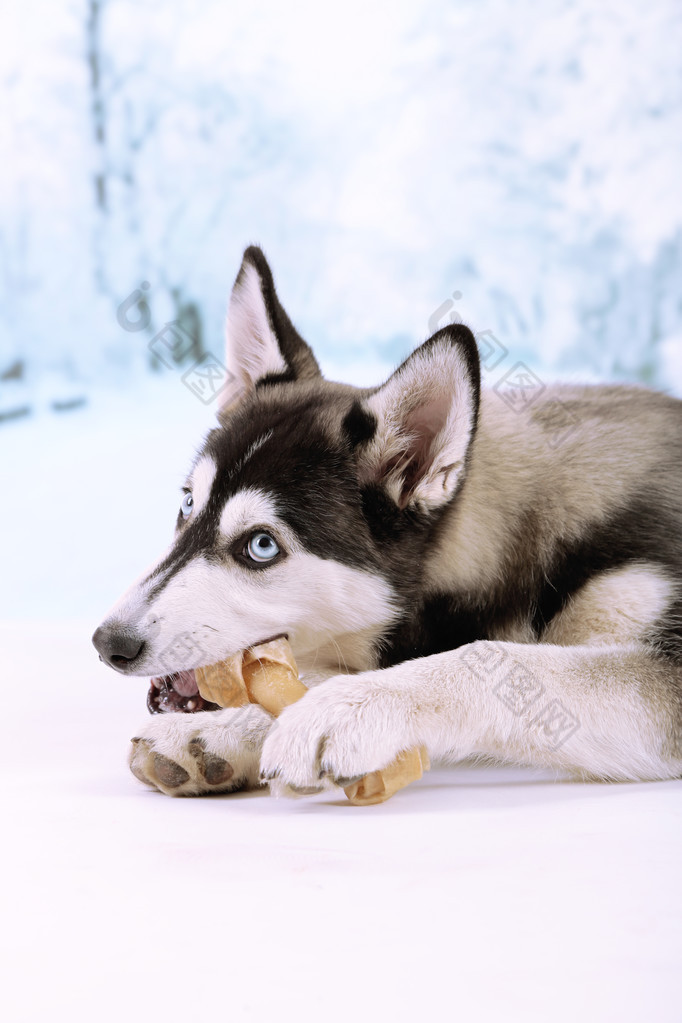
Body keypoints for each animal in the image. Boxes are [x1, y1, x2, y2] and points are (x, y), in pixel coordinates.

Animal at [92, 247, 682, 797]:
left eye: (261, 545)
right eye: (188, 503)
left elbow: (501, 661)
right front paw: (227, 728)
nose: (108, 643)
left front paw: (350, 707)